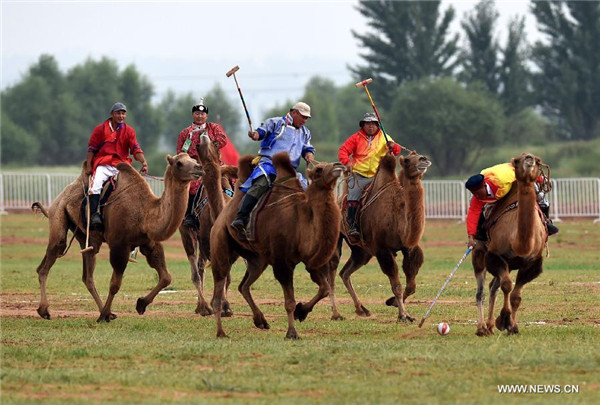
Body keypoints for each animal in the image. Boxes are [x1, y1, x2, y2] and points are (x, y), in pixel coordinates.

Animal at [32, 153, 204, 320]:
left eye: (192, 158)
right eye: (179, 163)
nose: (199, 168)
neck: (145, 214)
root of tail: (56, 200)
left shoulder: (150, 243)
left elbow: (166, 277)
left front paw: (140, 304)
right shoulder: (119, 244)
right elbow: (115, 284)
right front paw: (104, 315)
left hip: (86, 237)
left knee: (88, 273)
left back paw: (103, 310)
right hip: (58, 215)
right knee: (48, 261)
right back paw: (44, 310)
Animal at [178, 133, 237, 316]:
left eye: (217, 142)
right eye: (197, 146)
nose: (204, 135)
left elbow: (227, 275)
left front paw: (225, 306)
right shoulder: (207, 243)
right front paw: (221, 305)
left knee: (201, 267)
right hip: (188, 233)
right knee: (197, 270)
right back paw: (202, 307)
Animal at [209, 152, 344, 338]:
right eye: (318, 169)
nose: (339, 165)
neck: (301, 222)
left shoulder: (310, 261)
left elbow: (324, 288)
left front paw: (302, 312)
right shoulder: (282, 261)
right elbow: (289, 301)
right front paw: (292, 333)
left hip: (258, 259)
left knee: (244, 285)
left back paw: (261, 321)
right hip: (220, 244)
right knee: (219, 283)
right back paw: (221, 332)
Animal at [326, 150, 428, 320]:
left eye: (418, 155)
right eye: (407, 160)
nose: (424, 159)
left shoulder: (409, 248)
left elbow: (411, 284)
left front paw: (392, 302)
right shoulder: (382, 249)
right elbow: (396, 284)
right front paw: (403, 315)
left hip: (362, 251)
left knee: (345, 272)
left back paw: (361, 309)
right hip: (338, 239)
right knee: (332, 272)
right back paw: (336, 313)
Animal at [472, 152, 552, 334]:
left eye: (538, 161)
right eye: (516, 161)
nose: (529, 159)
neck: (520, 244)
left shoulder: (532, 262)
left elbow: (516, 295)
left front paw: (512, 326)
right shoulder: (495, 255)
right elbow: (507, 285)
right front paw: (504, 320)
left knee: (493, 287)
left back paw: (490, 326)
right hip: (479, 252)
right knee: (482, 290)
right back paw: (482, 328)